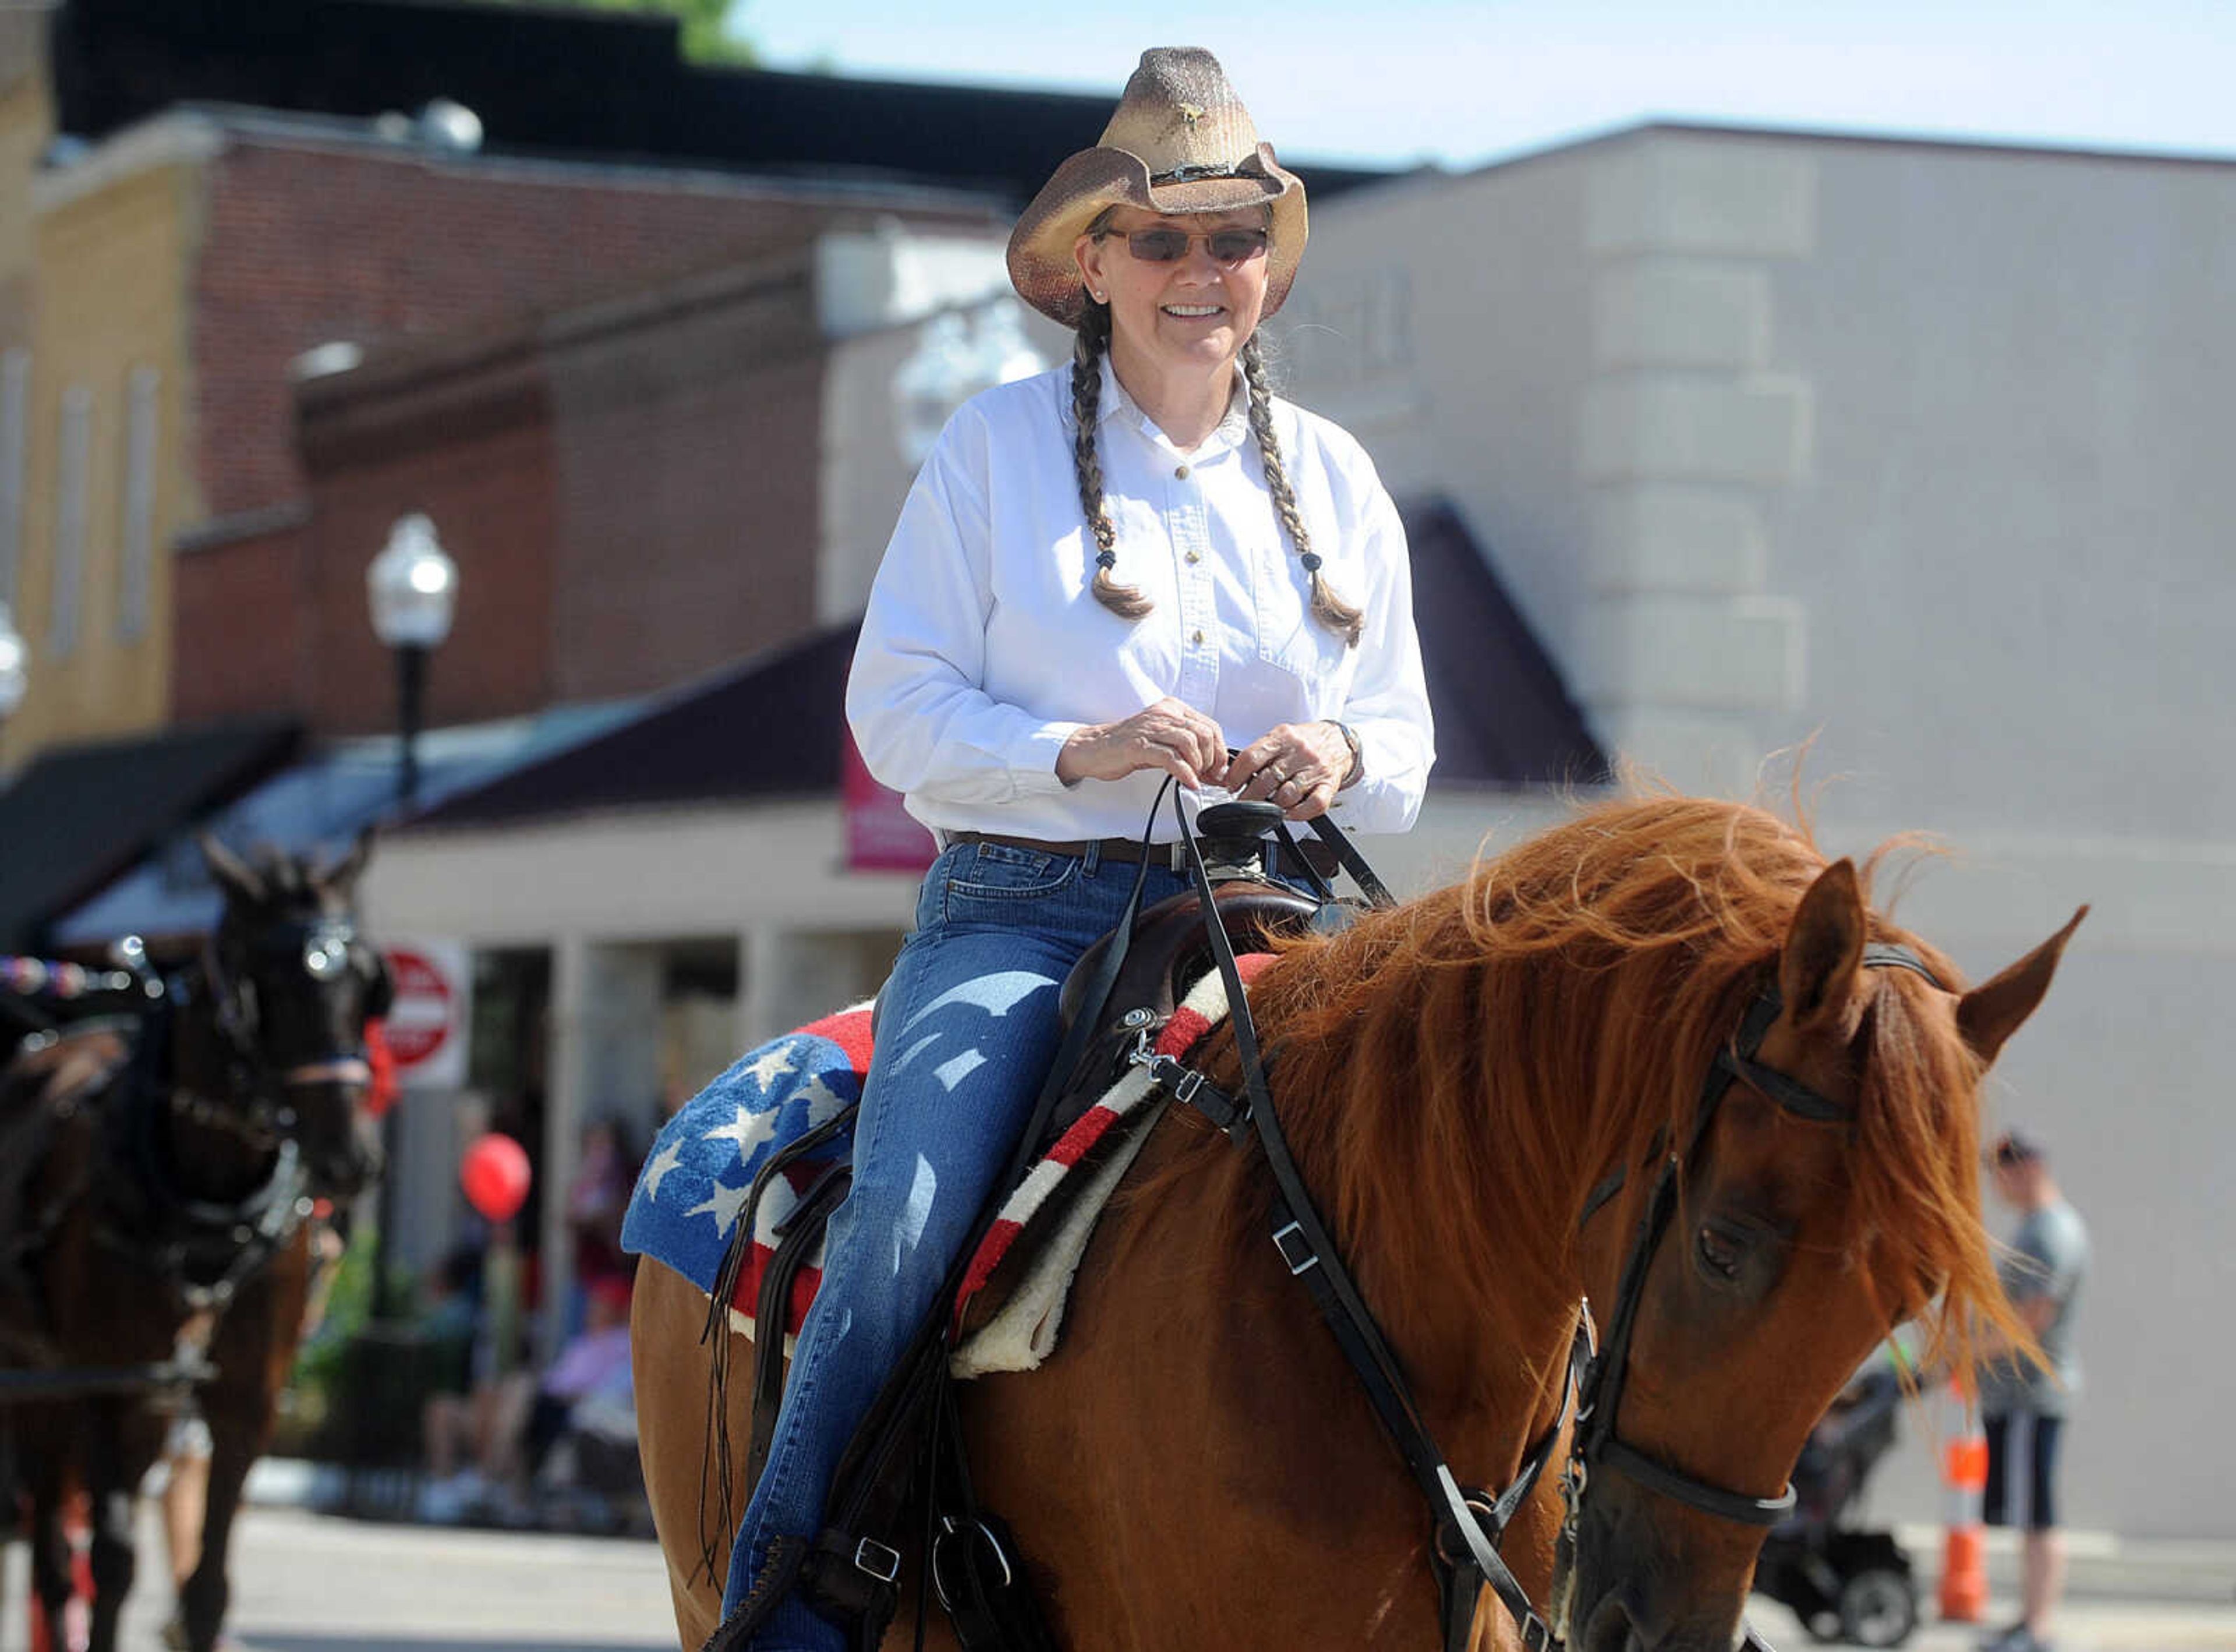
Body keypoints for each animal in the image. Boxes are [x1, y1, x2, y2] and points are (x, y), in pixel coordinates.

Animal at [0, 840, 387, 1652]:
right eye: (268, 982)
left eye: (369, 982)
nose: (349, 1158)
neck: (208, 1202)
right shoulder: (106, 1382)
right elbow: (112, 1561)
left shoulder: (246, 1395)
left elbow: (208, 1584)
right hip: (42, 1375)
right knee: (55, 1559)